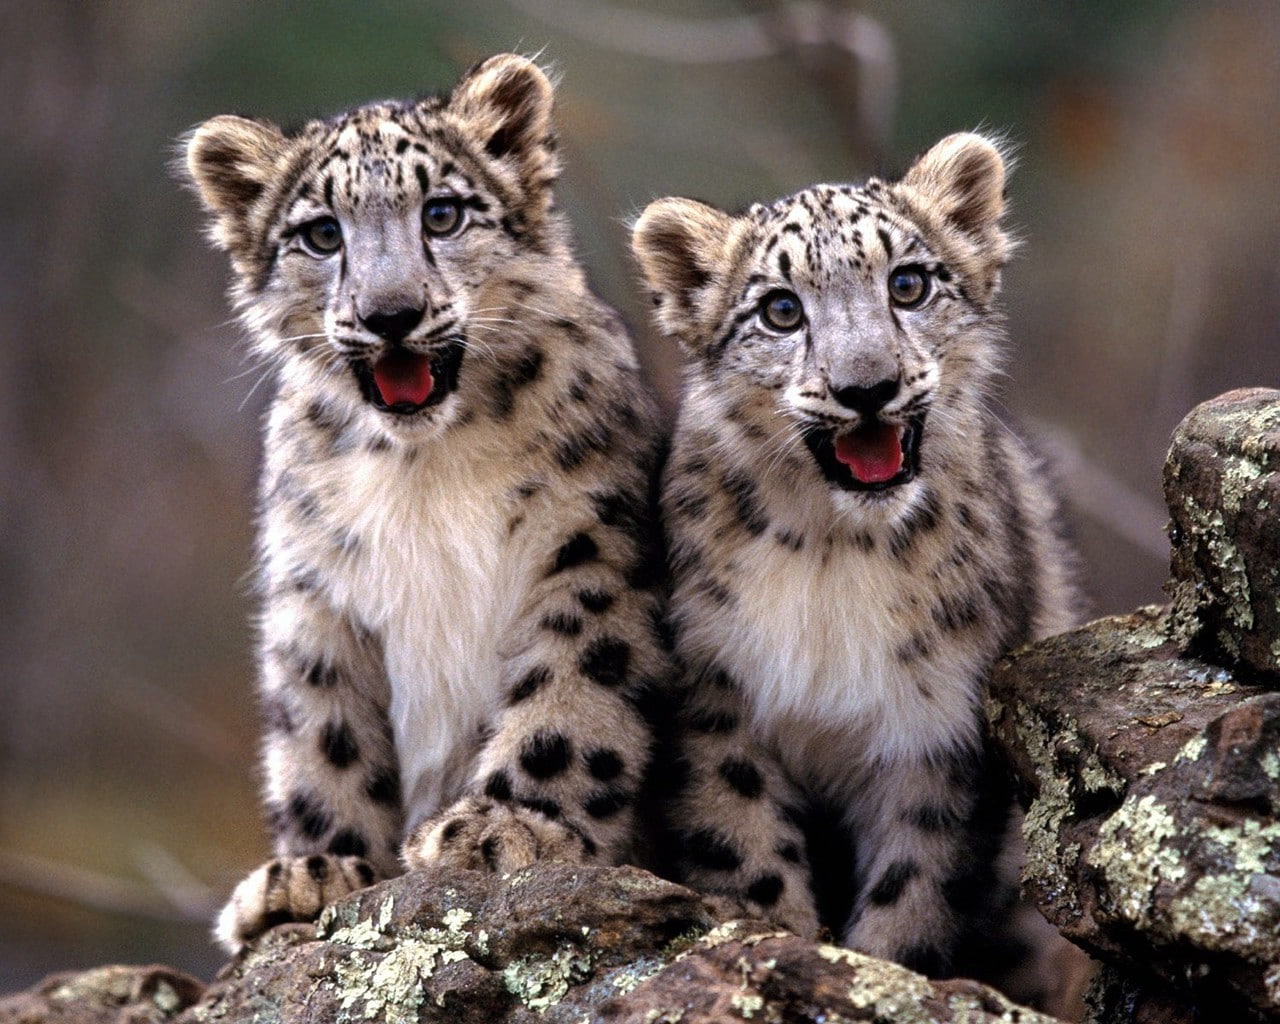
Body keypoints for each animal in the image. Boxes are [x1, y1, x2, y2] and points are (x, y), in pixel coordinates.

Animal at [181, 53, 668, 952]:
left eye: (442, 213)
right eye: (322, 234)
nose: (391, 314)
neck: (424, 469)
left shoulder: (593, 547)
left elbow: (574, 687)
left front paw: (509, 826)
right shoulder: (315, 589)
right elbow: (323, 731)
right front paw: (315, 871)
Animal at [631, 132, 1086, 1011]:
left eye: (908, 283)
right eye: (781, 309)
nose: (867, 387)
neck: (834, 554)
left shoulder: (937, 727)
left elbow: (914, 890)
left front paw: (879, 975)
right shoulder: (719, 701)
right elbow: (747, 852)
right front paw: (780, 946)